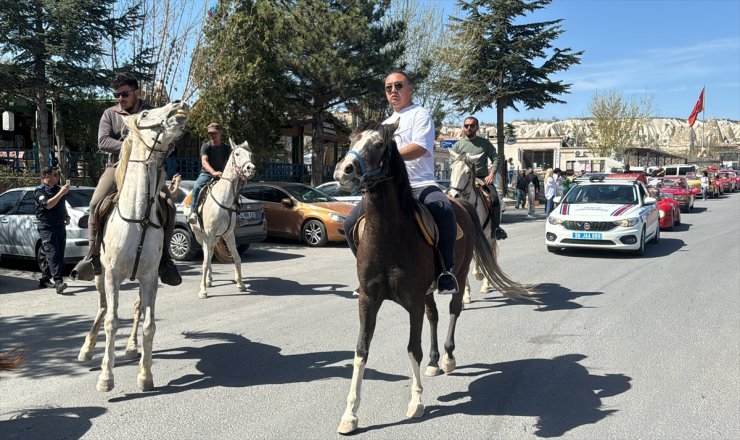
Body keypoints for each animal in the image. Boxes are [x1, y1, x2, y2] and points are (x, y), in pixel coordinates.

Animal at [77, 100, 188, 392]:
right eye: (147, 114)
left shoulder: (149, 278)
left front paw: (145, 375)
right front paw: (106, 377)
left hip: (140, 280)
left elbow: (149, 324)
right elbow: (111, 321)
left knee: (137, 308)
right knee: (103, 308)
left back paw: (130, 347)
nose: (178, 105)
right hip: (100, 276)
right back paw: (86, 349)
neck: (139, 217)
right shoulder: (113, 275)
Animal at [189, 139, 256, 300]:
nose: (250, 168)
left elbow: (237, 258)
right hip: (200, 236)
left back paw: (209, 279)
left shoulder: (229, 234)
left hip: (215, 238)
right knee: (206, 255)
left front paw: (241, 284)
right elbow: (205, 262)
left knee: (211, 252)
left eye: (250, 154)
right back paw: (207, 281)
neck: (223, 199)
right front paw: (202, 291)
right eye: (237, 154)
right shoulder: (208, 234)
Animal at [448, 150, 500, 304]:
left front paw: (478, 275)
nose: (453, 194)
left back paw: (485, 283)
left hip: (490, 236)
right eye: (452, 169)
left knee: (488, 254)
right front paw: (466, 293)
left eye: (467, 172)